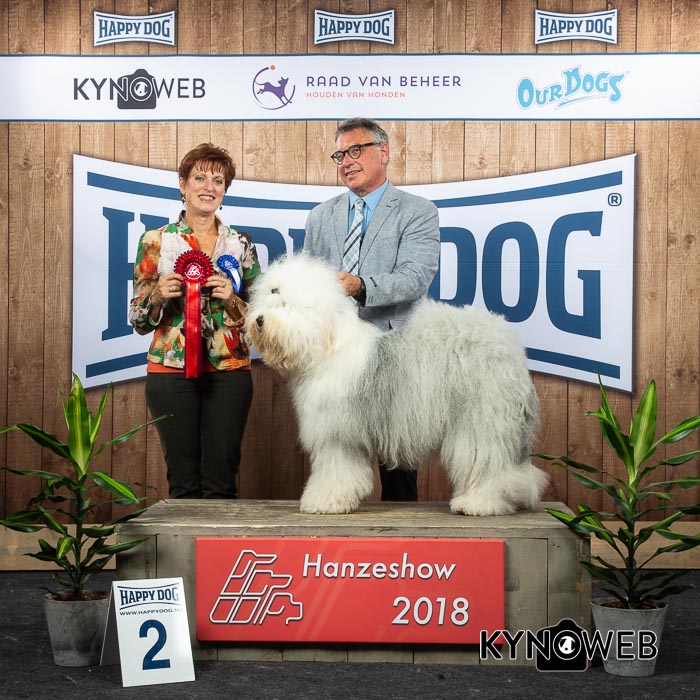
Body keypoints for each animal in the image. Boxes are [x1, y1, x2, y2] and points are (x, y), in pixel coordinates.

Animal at [244, 254, 547, 516]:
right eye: (268, 300)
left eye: (286, 305)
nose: (258, 320)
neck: (328, 347)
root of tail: (510, 347)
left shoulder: (338, 432)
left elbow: (336, 470)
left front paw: (324, 501)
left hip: (481, 420)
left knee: (487, 463)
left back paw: (477, 504)